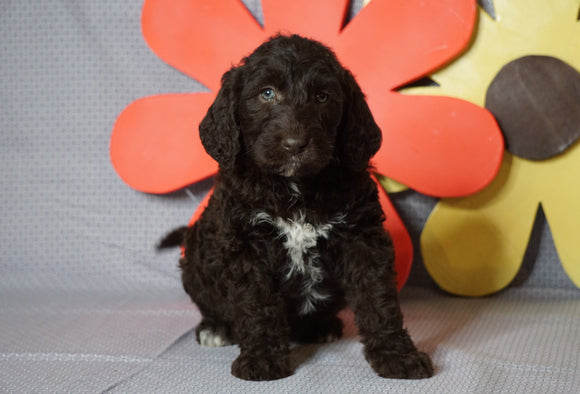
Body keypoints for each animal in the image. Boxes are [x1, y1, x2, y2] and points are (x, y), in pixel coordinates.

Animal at [161, 34, 432, 382]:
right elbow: (256, 304)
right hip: (195, 256)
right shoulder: (246, 246)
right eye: (266, 93)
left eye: (322, 97)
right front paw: (262, 358)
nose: (294, 145)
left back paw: (320, 326)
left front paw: (397, 355)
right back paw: (216, 328)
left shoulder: (362, 239)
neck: (296, 188)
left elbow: (378, 298)